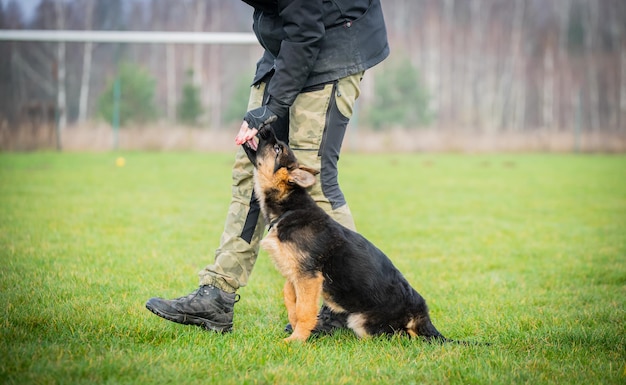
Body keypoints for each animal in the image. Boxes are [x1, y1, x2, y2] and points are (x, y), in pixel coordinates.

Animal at [244, 126, 454, 342]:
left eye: (277, 149)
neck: (289, 207)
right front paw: (297, 331)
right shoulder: (294, 275)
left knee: (403, 337)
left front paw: (296, 340)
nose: (266, 126)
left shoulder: (308, 277)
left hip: (362, 321)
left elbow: (304, 310)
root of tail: (422, 315)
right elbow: (291, 303)